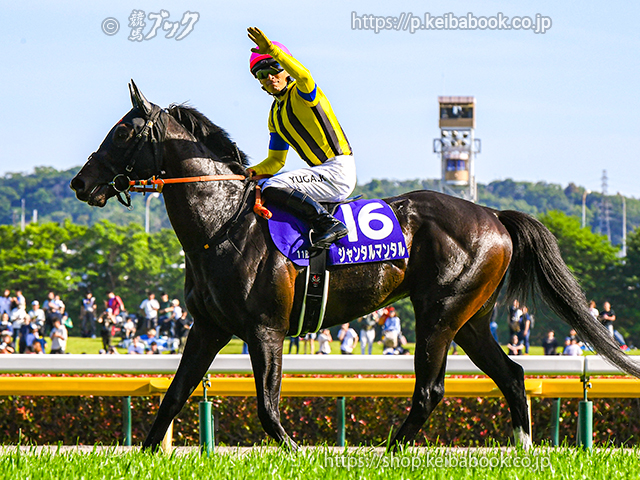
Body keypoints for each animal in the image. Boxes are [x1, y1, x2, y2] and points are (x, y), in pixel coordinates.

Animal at [71, 81, 640, 450]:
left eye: (122, 133)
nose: (81, 183)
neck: (223, 227)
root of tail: (493, 216)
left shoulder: (265, 328)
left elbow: (267, 407)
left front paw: (296, 453)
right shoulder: (208, 327)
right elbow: (173, 396)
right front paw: (145, 456)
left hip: (439, 314)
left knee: (430, 390)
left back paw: (390, 451)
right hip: (470, 319)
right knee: (513, 375)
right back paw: (523, 449)